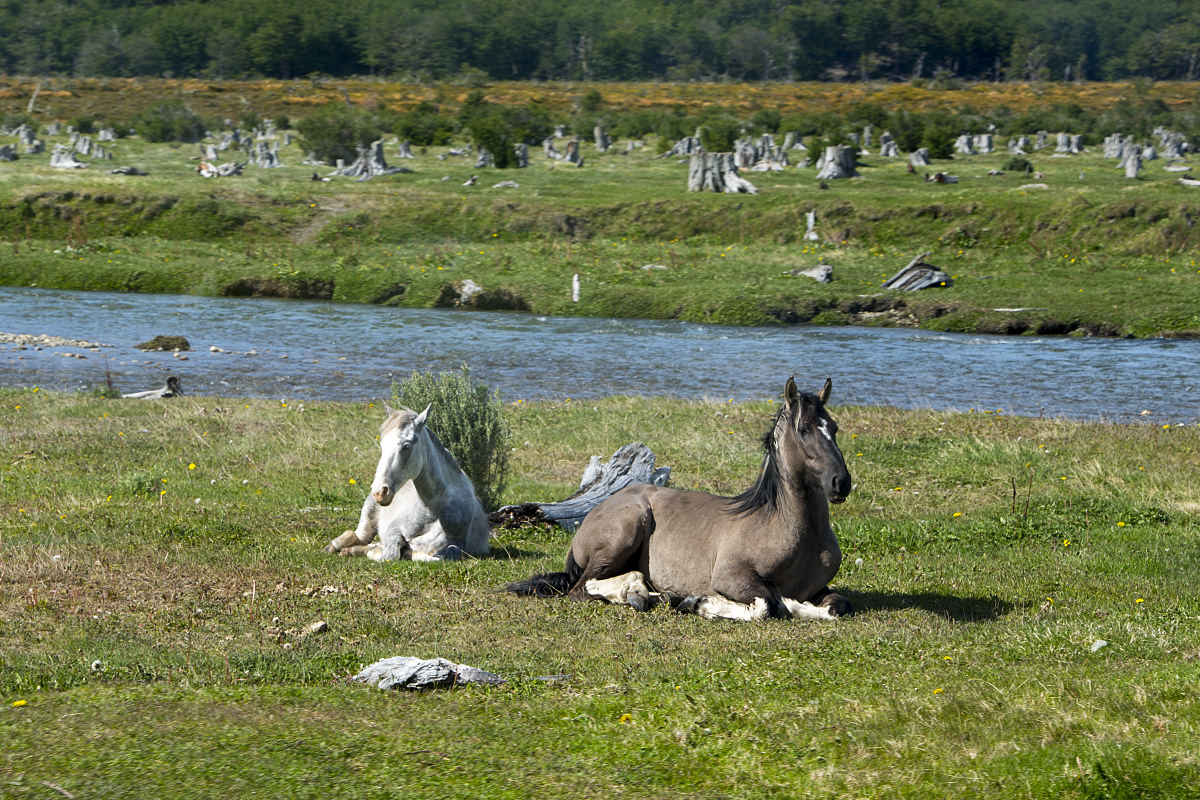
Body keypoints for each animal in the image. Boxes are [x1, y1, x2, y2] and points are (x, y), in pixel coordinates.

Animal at [326, 407, 489, 563]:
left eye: (406, 446)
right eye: (382, 445)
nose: (380, 492)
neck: (435, 511)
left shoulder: (455, 545)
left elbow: (432, 557)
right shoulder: (394, 529)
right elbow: (390, 555)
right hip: (368, 514)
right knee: (357, 535)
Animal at [506, 379, 854, 623]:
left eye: (835, 427)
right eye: (803, 429)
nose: (841, 482)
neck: (789, 531)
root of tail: (597, 511)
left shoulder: (819, 589)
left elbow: (837, 605)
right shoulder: (732, 577)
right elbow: (769, 604)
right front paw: (702, 603)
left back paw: (657, 596)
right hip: (625, 531)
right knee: (583, 588)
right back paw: (643, 595)